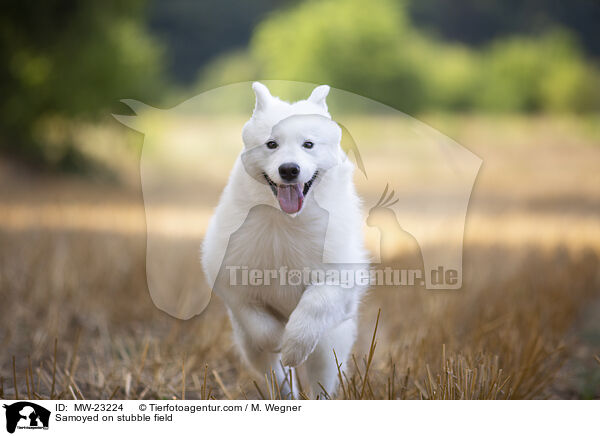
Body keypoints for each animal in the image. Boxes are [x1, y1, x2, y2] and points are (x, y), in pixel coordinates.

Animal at [202, 82, 368, 398]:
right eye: (271, 144)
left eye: (308, 145)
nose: (289, 169)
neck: (285, 222)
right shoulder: (234, 285)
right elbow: (261, 327)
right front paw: (281, 339)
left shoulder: (339, 279)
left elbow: (314, 305)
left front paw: (294, 344)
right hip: (248, 346)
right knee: (273, 373)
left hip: (328, 346)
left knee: (321, 378)